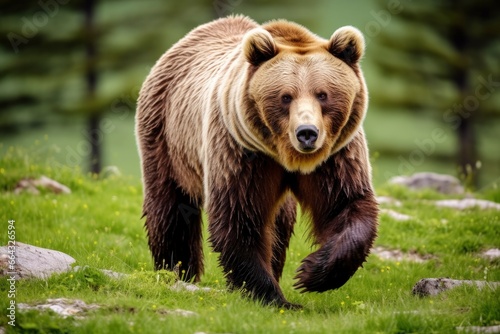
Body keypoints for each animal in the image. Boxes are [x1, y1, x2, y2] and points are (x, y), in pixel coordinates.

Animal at [135, 15, 376, 308]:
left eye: (322, 94)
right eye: (285, 96)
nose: (307, 133)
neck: (287, 157)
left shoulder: (336, 155)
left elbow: (346, 204)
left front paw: (310, 273)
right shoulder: (241, 152)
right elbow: (240, 217)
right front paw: (273, 295)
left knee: (281, 224)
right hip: (167, 137)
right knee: (170, 207)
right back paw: (176, 270)